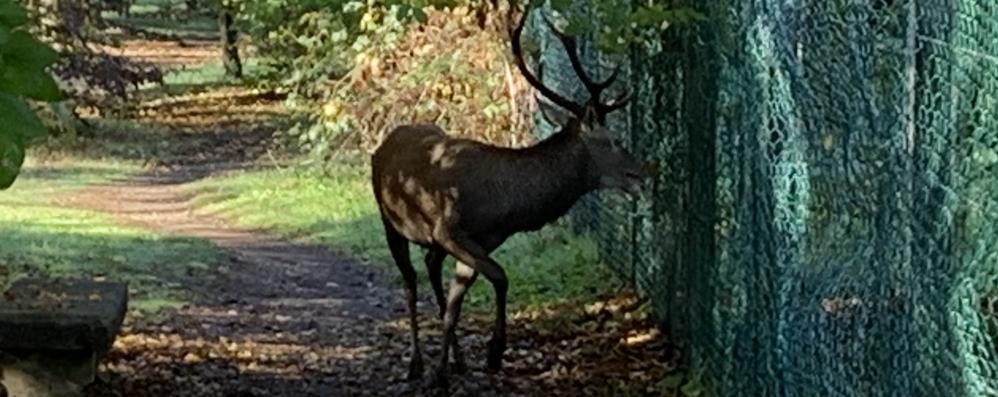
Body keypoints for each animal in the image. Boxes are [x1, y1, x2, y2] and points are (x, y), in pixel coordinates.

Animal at [372, 4, 652, 388]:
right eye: (612, 141)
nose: (642, 174)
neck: (503, 207)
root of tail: (383, 143)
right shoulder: (450, 230)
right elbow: (501, 277)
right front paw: (493, 352)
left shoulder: (479, 240)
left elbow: (456, 306)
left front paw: (447, 369)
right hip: (391, 223)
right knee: (411, 282)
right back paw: (415, 364)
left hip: (431, 241)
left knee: (431, 269)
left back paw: (456, 360)